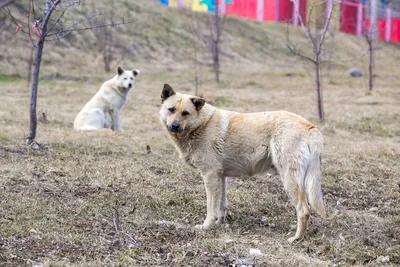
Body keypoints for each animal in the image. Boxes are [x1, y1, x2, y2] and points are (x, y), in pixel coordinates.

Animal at [158, 85, 326, 244]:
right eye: (171, 110)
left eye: (185, 113)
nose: (174, 126)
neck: (202, 124)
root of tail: (310, 126)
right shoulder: (220, 177)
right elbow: (221, 205)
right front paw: (220, 224)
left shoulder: (210, 176)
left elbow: (211, 207)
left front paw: (206, 226)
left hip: (289, 179)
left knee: (303, 210)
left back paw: (296, 238)